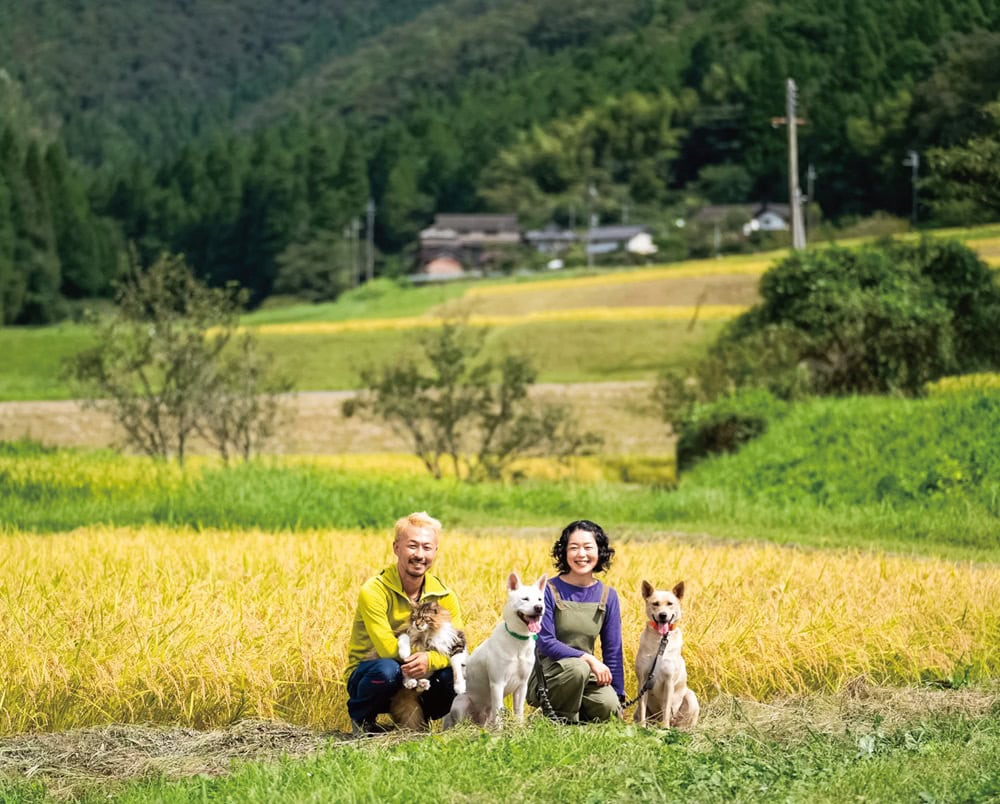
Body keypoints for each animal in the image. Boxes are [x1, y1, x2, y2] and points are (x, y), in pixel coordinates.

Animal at [444, 572, 548, 728]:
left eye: (540, 599)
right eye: (525, 599)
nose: (538, 608)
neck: (518, 640)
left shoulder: (522, 685)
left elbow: (519, 711)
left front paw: (519, 729)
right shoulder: (497, 683)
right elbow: (499, 710)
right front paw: (500, 732)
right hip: (461, 702)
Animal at [636, 576, 700, 728]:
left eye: (670, 603)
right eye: (655, 604)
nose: (663, 615)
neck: (660, 641)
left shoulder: (669, 681)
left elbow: (666, 708)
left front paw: (665, 728)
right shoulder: (643, 680)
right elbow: (642, 708)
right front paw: (642, 727)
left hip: (690, 697)